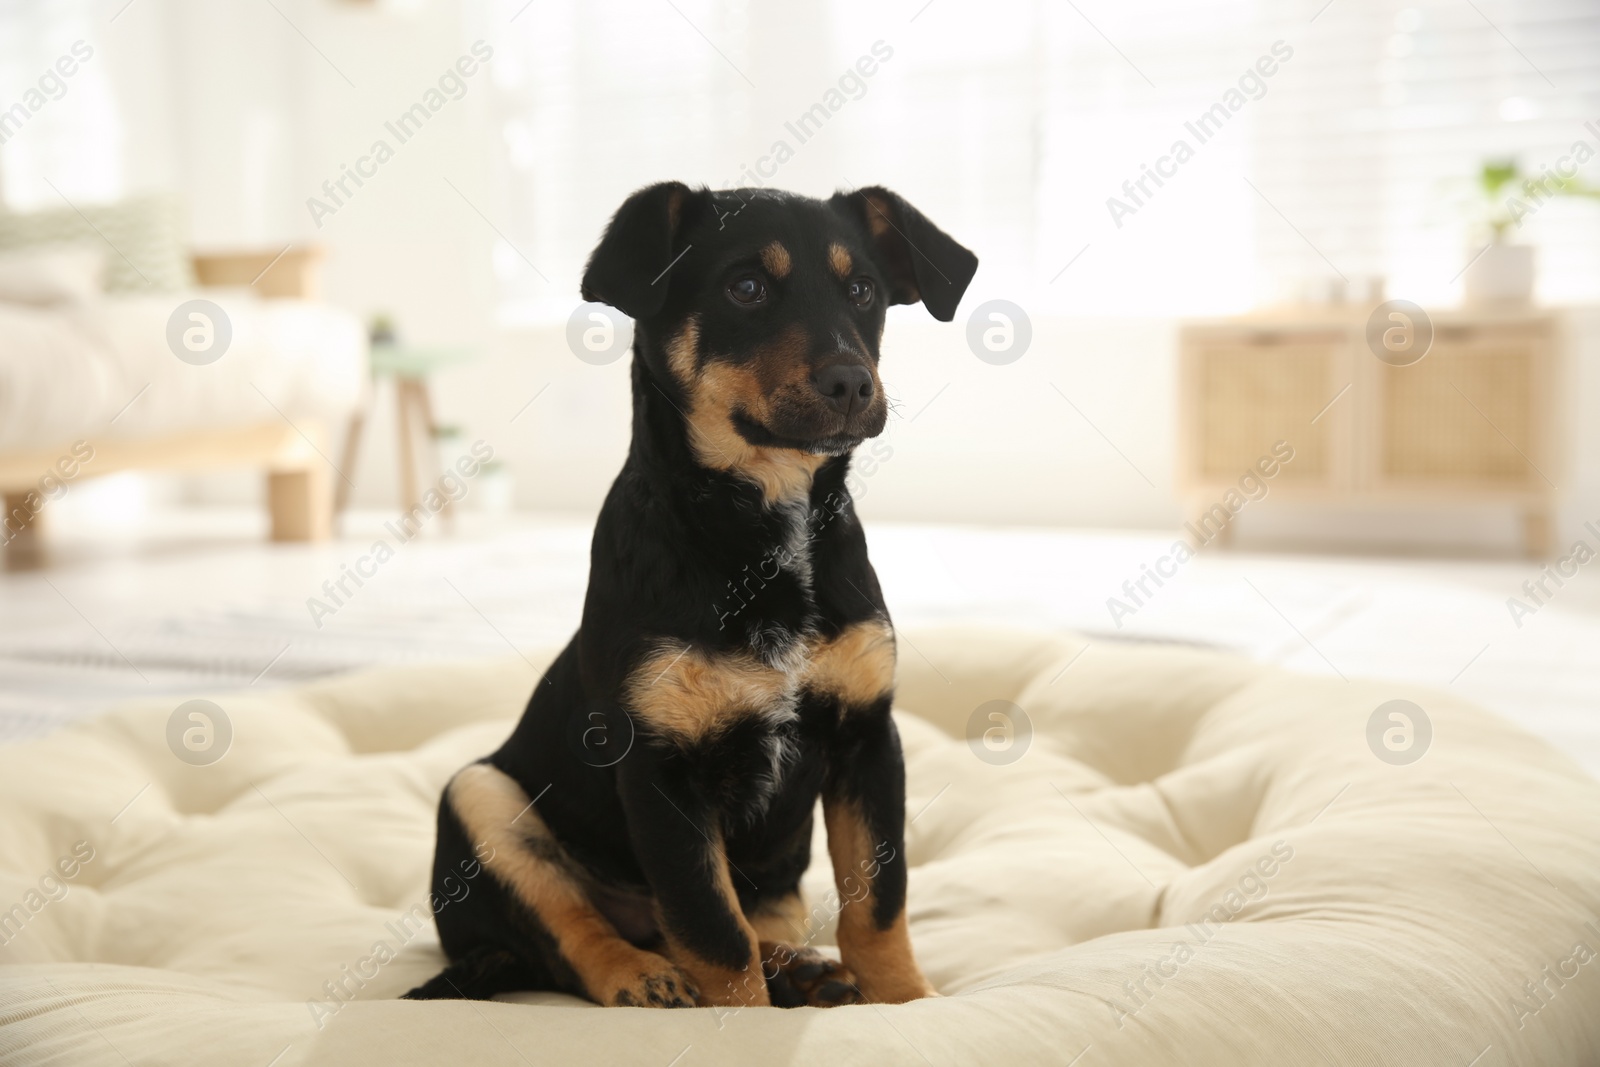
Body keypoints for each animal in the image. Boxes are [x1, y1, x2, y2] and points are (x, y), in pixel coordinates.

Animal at [403, 181, 972, 1011]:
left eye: (863, 290)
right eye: (746, 287)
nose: (851, 382)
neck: (765, 520)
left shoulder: (868, 737)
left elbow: (877, 897)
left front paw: (905, 1002)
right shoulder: (661, 769)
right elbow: (713, 929)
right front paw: (742, 1020)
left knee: (759, 916)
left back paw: (799, 966)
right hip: (480, 793)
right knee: (574, 932)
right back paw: (642, 975)